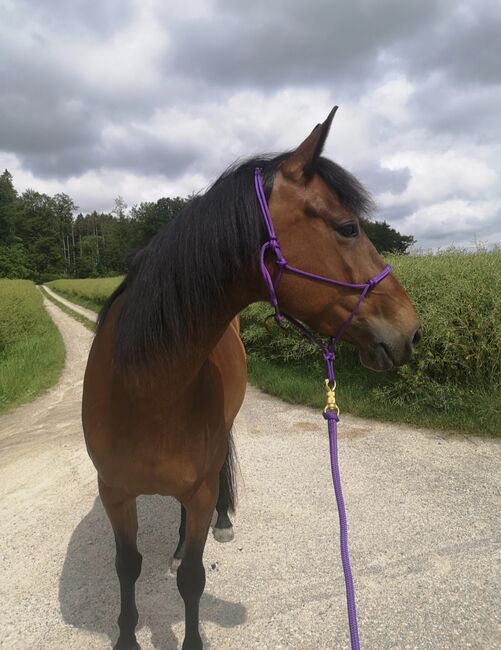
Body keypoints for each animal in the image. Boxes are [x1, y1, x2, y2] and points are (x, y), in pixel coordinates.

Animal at [82, 108, 421, 650]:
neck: (147, 391)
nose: (411, 331)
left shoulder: (199, 489)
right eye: (348, 228)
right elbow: (127, 566)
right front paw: (126, 636)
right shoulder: (114, 493)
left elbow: (192, 577)